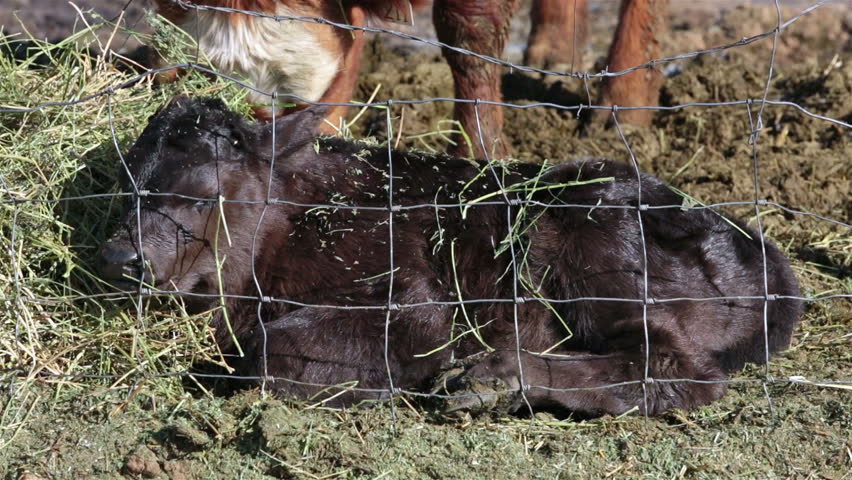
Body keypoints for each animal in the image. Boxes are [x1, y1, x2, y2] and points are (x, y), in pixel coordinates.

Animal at [97, 96, 801, 416]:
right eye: (126, 183)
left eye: (202, 193)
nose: (119, 259)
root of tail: (764, 258)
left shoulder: (421, 305)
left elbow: (270, 353)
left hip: (595, 242)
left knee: (677, 366)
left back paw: (493, 379)